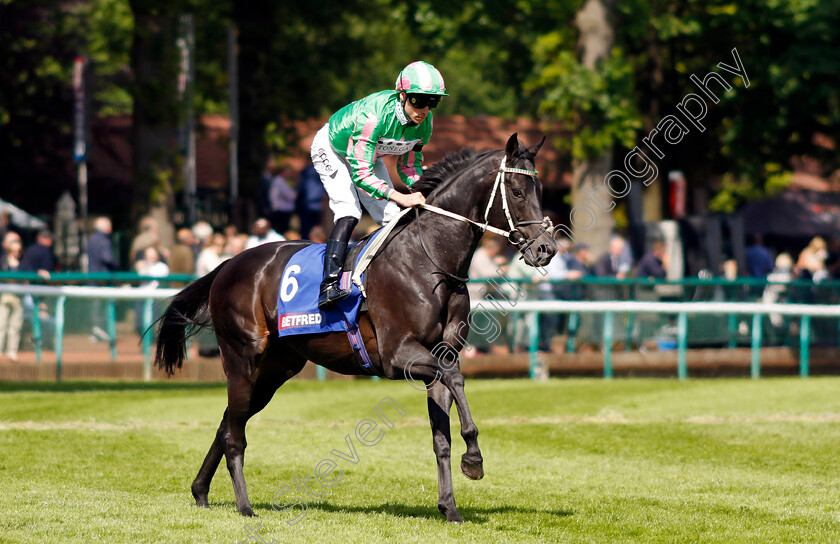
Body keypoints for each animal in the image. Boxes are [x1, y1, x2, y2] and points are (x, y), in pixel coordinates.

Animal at [156, 132, 556, 524]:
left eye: (540, 191)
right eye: (517, 192)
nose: (546, 249)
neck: (429, 261)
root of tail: (228, 264)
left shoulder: (438, 356)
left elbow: (441, 434)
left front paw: (450, 508)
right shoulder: (399, 356)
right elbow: (455, 379)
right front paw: (473, 458)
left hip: (275, 369)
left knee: (228, 422)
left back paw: (200, 491)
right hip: (242, 356)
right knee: (235, 433)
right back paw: (244, 506)